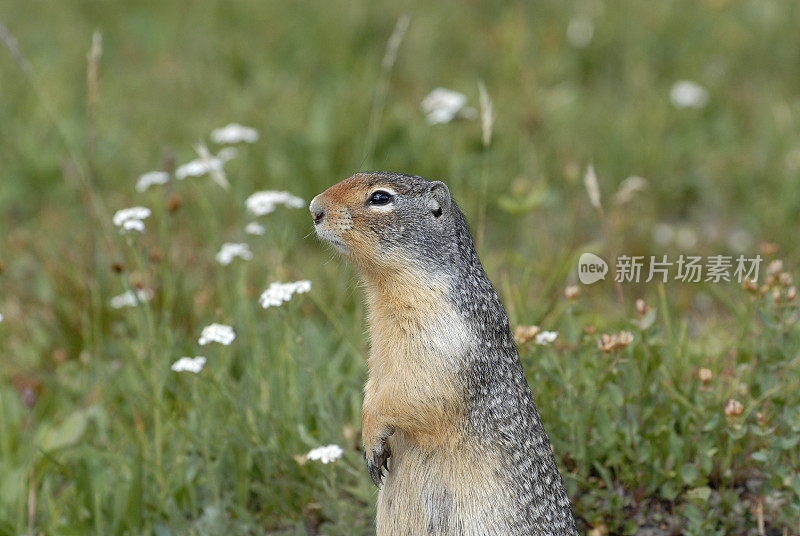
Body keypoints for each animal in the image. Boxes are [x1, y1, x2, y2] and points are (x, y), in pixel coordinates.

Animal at [310, 173, 580, 536]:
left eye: (380, 198)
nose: (314, 209)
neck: (388, 290)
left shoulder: (445, 340)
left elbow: (418, 393)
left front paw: (372, 435)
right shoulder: (380, 356)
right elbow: (373, 387)